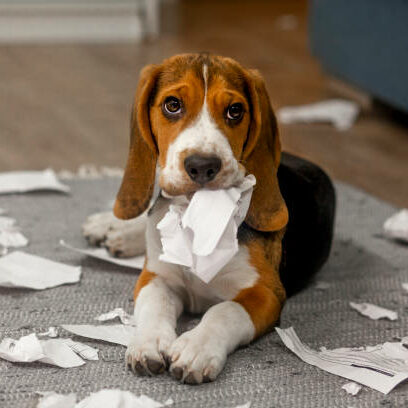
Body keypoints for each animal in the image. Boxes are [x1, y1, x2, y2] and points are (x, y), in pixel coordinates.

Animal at [83, 52, 334, 384]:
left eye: (235, 110)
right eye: (172, 105)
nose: (202, 165)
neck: (198, 213)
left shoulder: (266, 293)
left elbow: (224, 311)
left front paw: (196, 348)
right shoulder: (157, 277)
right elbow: (154, 307)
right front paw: (148, 343)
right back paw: (114, 227)